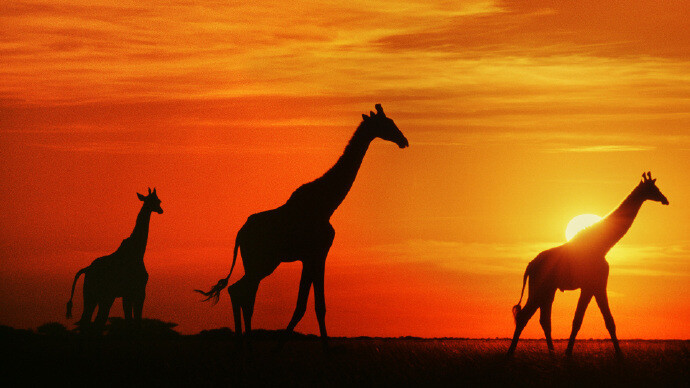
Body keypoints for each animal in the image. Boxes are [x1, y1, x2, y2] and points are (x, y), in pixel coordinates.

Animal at [506, 173, 668, 358]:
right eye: (653, 189)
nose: (665, 200)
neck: (603, 245)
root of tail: (530, 266)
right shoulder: (594, 285)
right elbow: (582, 320)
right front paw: (572, 354)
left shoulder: (595, 286)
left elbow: (603, 320)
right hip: (540, 288)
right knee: (525, 316)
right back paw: (510, 354)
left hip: (548, 290)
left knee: (544, 320)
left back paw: (552, 353)